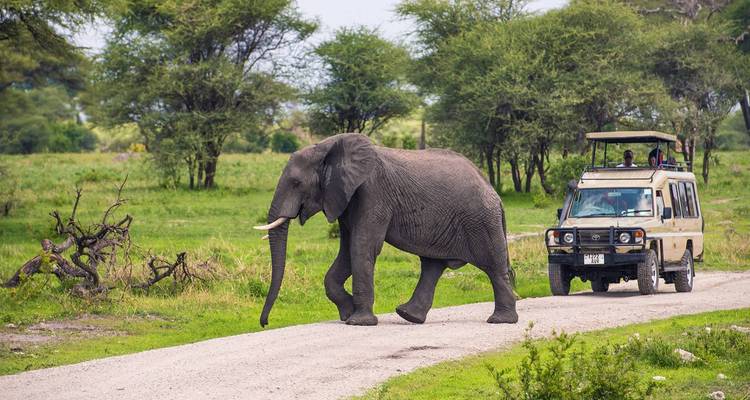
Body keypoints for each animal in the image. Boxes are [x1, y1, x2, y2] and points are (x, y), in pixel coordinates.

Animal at [255, 133, 518, 327]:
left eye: (297, 183)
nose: (264, 323)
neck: (327, 147)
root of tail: (494, 193)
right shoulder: (346, 198)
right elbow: (347, 252)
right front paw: (347, 314)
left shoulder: (373, 193)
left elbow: (362, 247)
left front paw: (358, 323)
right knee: (432, 266)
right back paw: (408, 315)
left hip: (481, 221)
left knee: (493, 267)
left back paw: (500, 321)